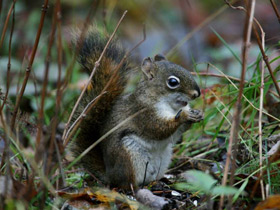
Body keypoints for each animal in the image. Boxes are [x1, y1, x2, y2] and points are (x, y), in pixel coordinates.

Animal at [68, 28, 203, 189]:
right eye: (172, 82)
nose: (197, 93)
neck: (170, 106)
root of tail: (110, 175)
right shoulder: (142, 113)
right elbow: (158, 128)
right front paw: (184, 116)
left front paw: (198, 114)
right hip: (129, 155)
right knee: (126, 183)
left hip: (163, 159)